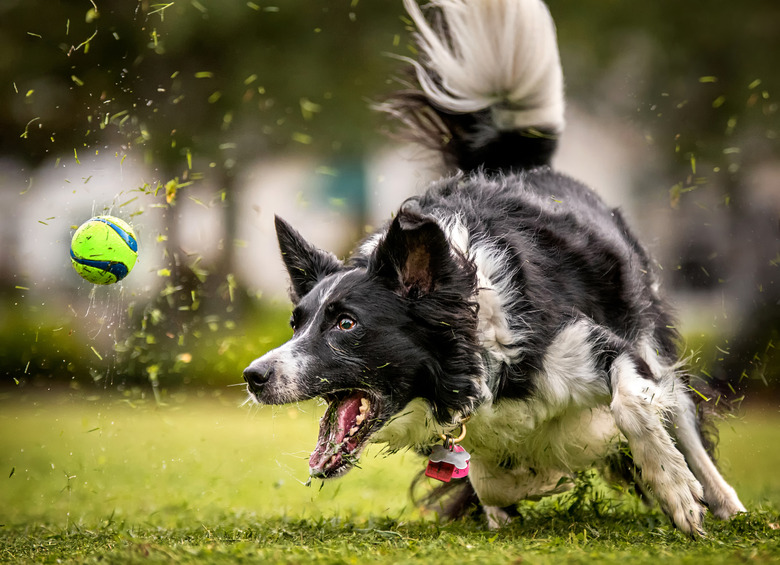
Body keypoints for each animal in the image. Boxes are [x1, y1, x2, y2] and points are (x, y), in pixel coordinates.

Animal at [244, 0, 744, 532]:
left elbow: (629, 404)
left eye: (345, 323)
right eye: (295, 323)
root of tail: (517, 164)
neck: (472, 343)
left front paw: (673, 488)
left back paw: (724, 501)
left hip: (648, 331)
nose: (253, 376)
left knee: (682, 413)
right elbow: (490, 478)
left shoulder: (598, 345)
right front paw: (530, 481)